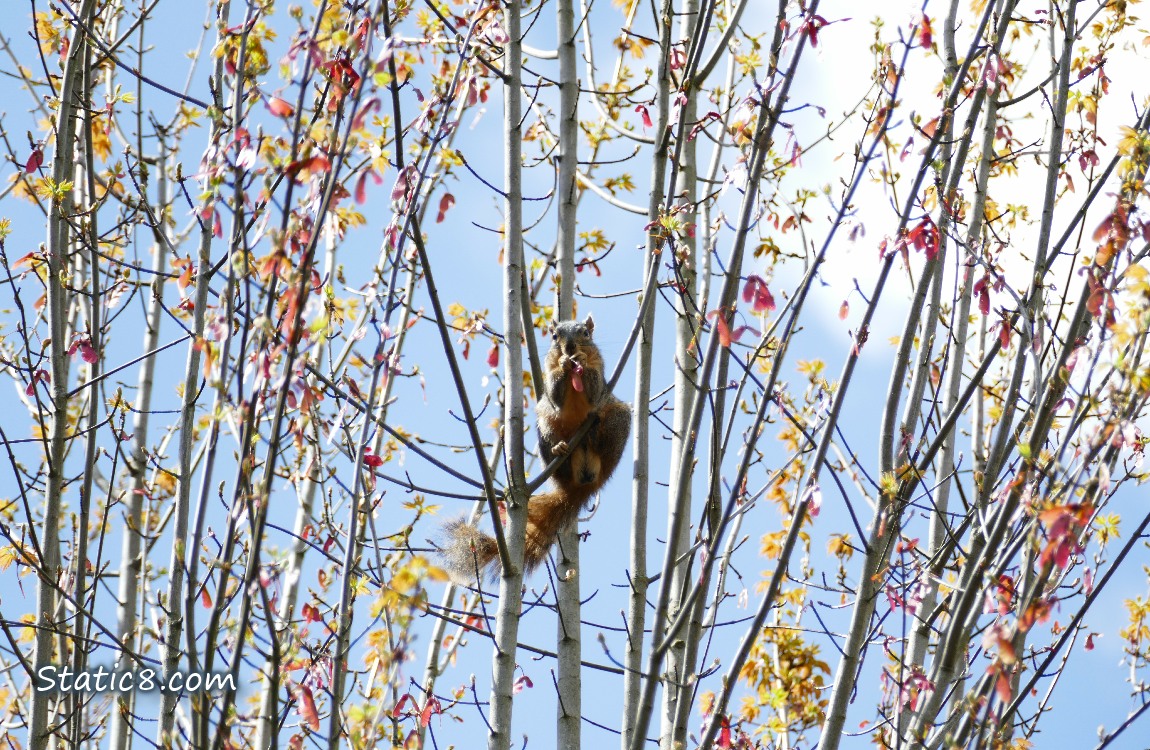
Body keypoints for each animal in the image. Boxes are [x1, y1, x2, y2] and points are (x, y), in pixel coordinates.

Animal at [443, 315, 634, 579]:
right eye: (555, 337)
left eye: (585, 333)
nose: (570, 348)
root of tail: (580, 487)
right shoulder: (548, 378)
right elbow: (554, 392)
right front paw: (563, 363)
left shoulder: (601, 378)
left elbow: (595, 390)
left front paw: (582, 360)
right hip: (545, 422)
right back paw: (560, 449)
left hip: (618, 418)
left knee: (605, 439)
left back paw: (594, 433)